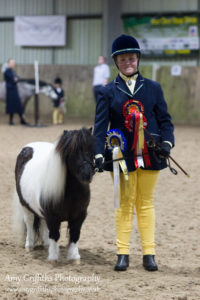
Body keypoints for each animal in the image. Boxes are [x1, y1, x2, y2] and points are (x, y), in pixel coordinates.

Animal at [13, 128, 94, 262]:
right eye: (72, 152)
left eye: (91, 148)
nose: (87, 174)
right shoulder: (52, 216)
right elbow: (55, 235)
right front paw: (53, 258)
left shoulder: (80, 216)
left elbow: (75, 234)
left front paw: (75, 257)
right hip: (25, 206)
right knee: (29, 223)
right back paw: (29, 246)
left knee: (43, 225)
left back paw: (46, 244)